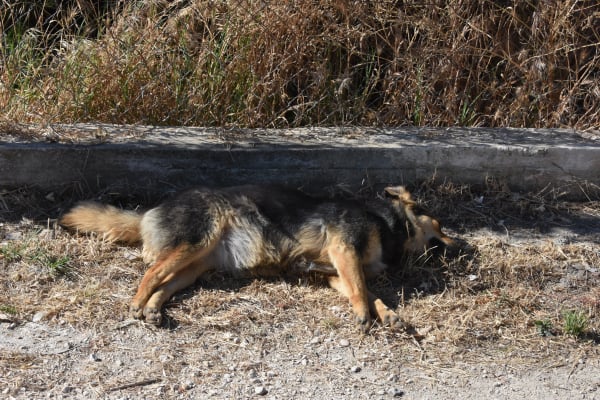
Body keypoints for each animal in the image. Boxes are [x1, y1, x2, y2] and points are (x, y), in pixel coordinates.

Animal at [62, 184, 454, 332]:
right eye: (436, 221)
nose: (455, 244)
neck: (388, 222)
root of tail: (148, 213)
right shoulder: (345, 251)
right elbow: (361, 290)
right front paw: (363, 314)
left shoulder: (335, 271)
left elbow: (373, 293)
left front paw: (388, 315)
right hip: (196, 241)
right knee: (150, 273)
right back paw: (138, 302)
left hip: (194, 266)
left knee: (165, 283)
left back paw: (154, 309)